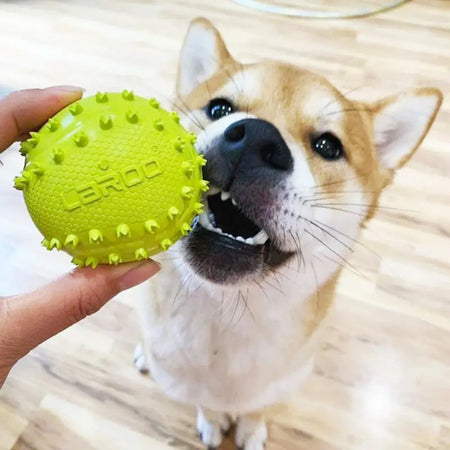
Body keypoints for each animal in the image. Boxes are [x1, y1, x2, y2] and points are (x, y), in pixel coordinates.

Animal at [132, 18, 442, 450]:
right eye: (219, 109)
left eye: (328, 145)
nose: (254, 138)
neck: (228, 321)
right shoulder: (190, 382)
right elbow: (205, 402)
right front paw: (213, 420)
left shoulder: (278, 384)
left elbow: (258, 408)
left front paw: (251, 429)